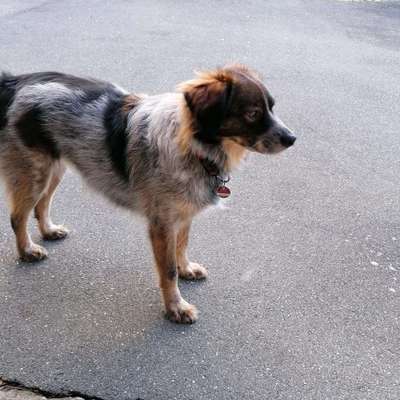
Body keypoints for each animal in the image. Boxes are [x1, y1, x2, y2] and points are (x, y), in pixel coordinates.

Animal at [0, 64, 294, 324]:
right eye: (253, 113)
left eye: (271, 107)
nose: (292, 139)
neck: (190, 146)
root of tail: (13, 82)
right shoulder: (162, 223)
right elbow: (168, 270)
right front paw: (176, 307)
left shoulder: (182, 215)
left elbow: (182, 246)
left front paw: (186, 269)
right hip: (35, 172)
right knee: (18, 216)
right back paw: (27, 250)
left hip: (54, 168)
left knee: (41, 205)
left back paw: (49, 231)